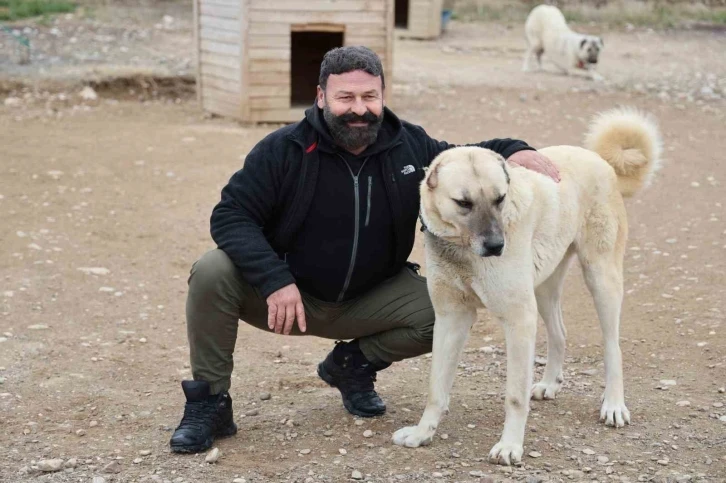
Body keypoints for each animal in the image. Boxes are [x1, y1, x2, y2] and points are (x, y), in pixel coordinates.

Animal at [392, 108, 664, 466]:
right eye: (463, 203)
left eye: (500, 199)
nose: (497, 246)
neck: (462, 249)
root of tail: (600, 161)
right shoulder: (451, 319)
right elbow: (436, 388)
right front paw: (422, 433)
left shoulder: (518, 320)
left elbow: (514, 396)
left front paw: (509, 446)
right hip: (544, 288)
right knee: (560, 333)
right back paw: (550, 383)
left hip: (601, 279)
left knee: (612, 347)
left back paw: (614, 405)